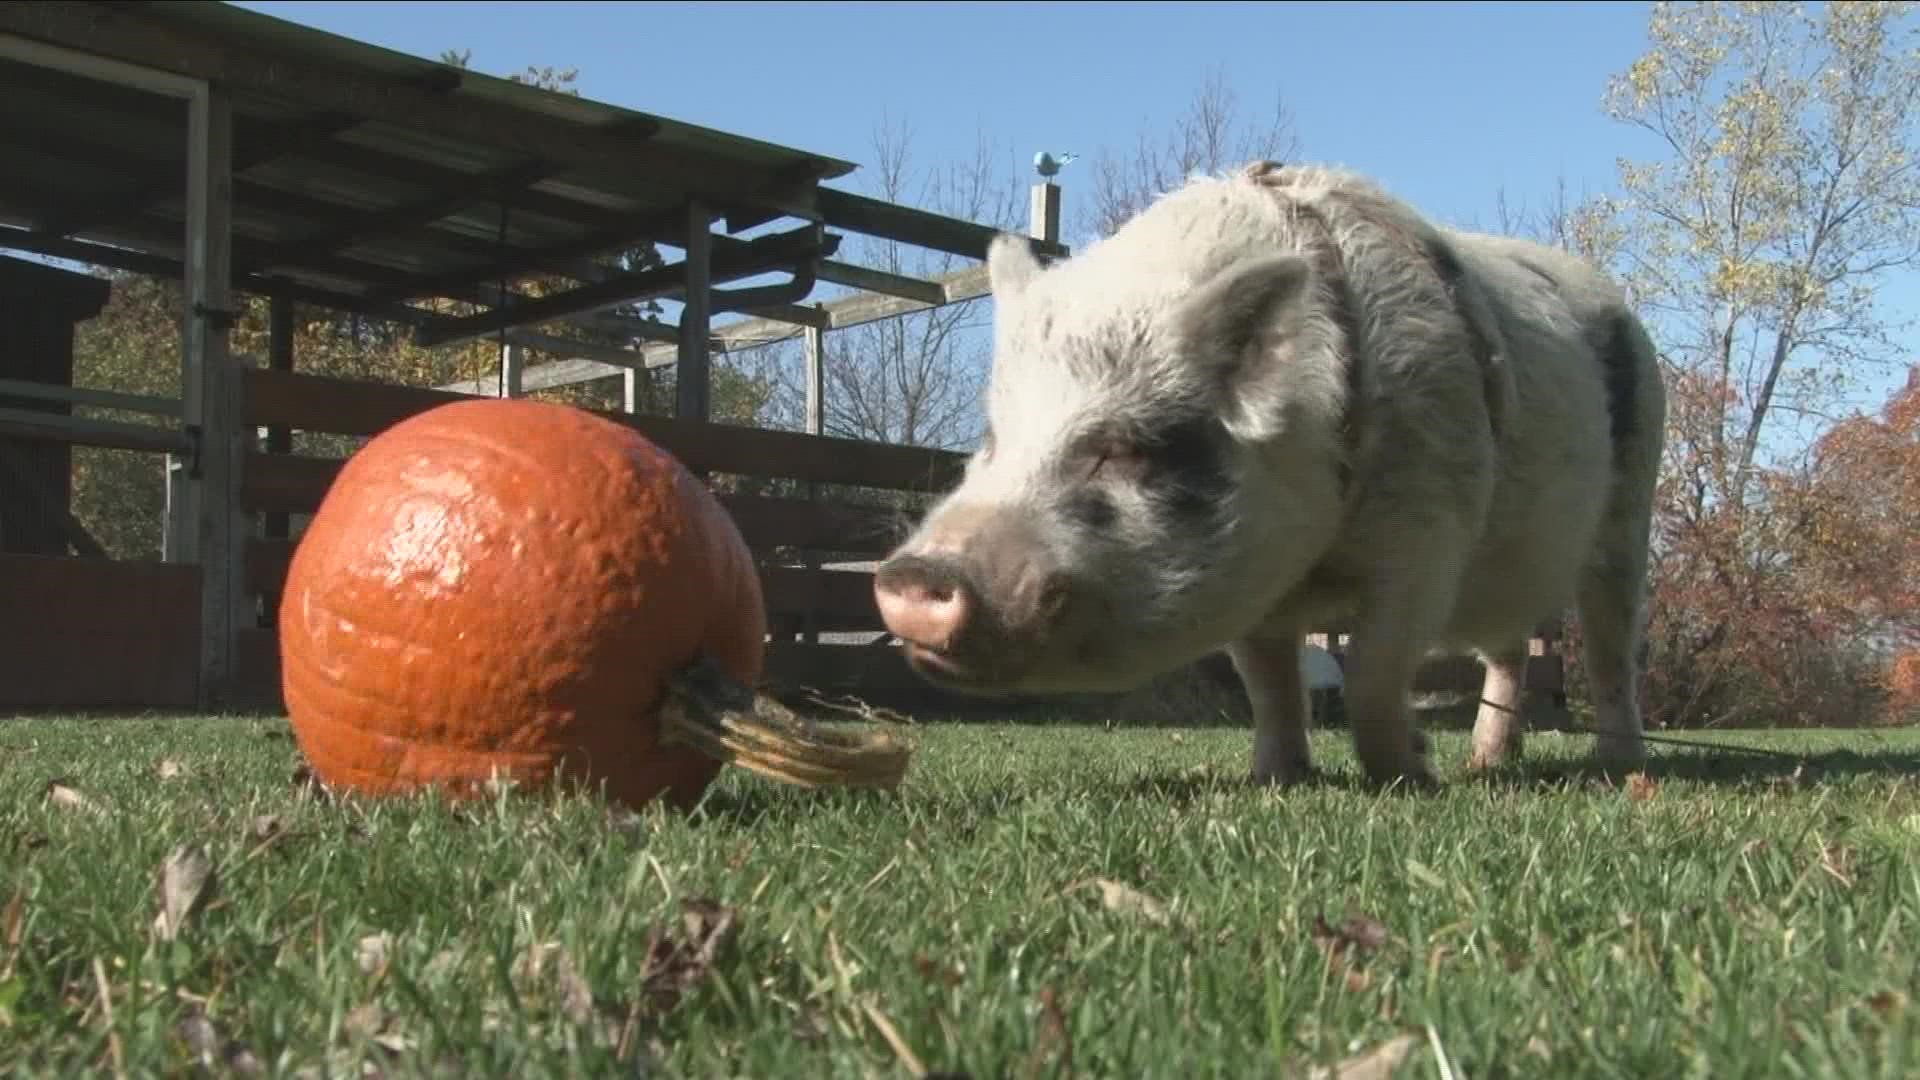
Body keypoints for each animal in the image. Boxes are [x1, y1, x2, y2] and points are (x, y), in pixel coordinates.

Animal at [871, 155, 1666, 787]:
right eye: (993, 438)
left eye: (1125, 448)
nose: (911, 577)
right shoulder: (1254, 584)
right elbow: (1269, 685)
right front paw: (1276, 778)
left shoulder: (1427, 538)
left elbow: (1375, 671)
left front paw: (1409, 774)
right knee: (1508, 650)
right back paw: (1488, 762)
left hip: (1632, 508)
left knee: (1610, 646)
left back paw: (1618, 766)